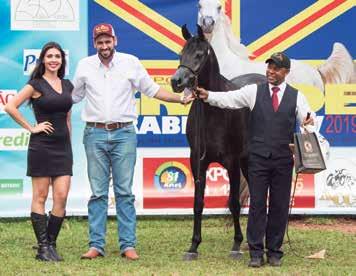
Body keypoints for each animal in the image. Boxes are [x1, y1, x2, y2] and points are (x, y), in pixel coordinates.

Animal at [171, 24, 266, 260]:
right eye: (181, 53)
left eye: (199, 54)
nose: (176, 82)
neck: (214, 112)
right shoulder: (197, 162)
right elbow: (198, 203)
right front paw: (193, 246)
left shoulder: (231, 162)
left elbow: (233, 203)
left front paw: (236, 244)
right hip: (247, 162)